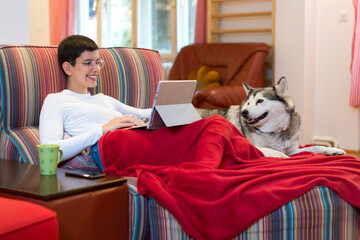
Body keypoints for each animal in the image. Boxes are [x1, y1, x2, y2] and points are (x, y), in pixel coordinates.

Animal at [197, 77, 346, 158]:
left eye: (260, 101)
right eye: (248, 103)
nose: (244, 112)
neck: (276, 131)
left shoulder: (293, 150)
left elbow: (315, 147)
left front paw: (333, 150)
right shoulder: (251, 146)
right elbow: (268, 150)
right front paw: (279, 155)